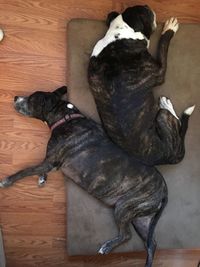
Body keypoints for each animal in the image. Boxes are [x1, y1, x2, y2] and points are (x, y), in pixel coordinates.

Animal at [0, 87, 167, 266]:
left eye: (31, 99)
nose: (16, 97)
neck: (64, 116)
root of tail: (164, 188)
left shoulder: (50, 160)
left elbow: (26, 170)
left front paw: (7, 181)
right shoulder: (50, 161)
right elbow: (39, 168)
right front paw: (42, 178)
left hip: (124, 207)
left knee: (127, 235)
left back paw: (107, 247)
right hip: (141, 217)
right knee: (151, 243)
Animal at [88, 4, 195, 165]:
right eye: (147, 13)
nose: (147, 5)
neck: (120, 35)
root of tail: (170, 156)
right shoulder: (159, 72)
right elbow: (163, 44)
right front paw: (169, 29)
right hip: (162, 117)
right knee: (177, 122)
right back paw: (166, 104)